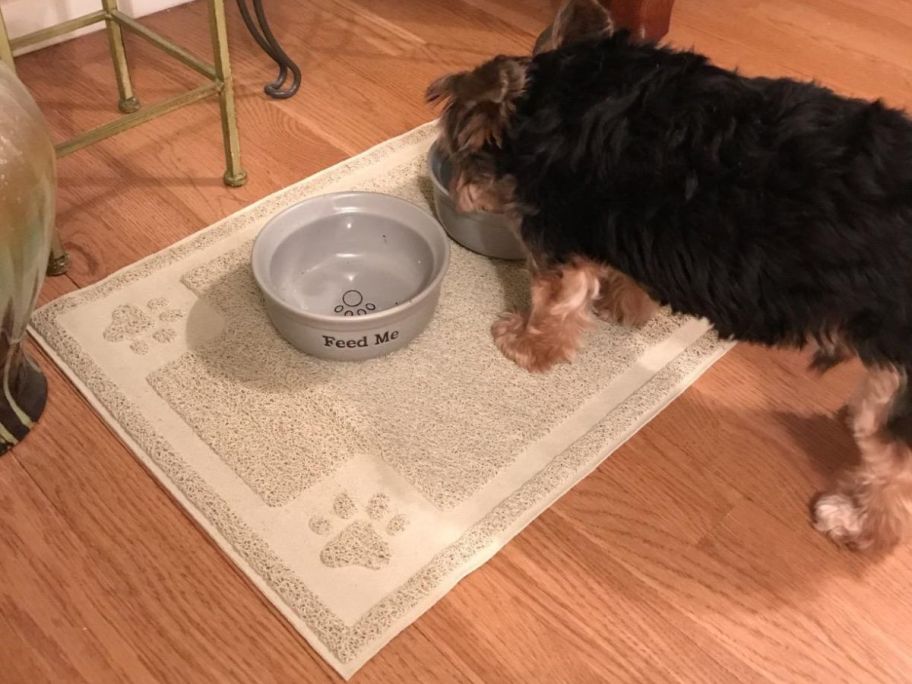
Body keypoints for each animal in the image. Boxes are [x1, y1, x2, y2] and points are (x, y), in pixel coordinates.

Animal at [432, 0, 912, 552]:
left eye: (458, 151)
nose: (458, 190)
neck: (560, 96)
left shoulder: (556, 241)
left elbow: (554, 305)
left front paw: (523, 344)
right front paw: (623, 307)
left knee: (894, 474)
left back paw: (853, 523)